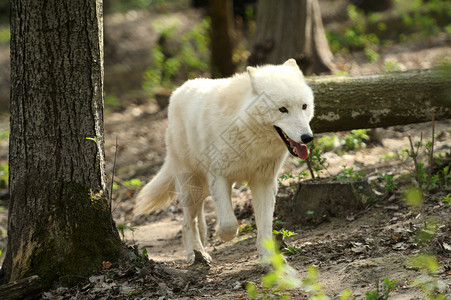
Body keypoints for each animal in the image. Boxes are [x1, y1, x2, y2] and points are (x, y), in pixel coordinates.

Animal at [136, 58, 316, 262]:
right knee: (188, 222)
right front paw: (223, 235)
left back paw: (201, 244)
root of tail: (178, 90)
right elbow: (229, 223)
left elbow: (265, 226)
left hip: (202, 188)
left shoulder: (263, 181)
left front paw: (268, 260)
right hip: (191, 185)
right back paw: (197, 254)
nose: (307, 137)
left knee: (196, 217)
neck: (249, 138)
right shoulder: (219, 177)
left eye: (304, 106)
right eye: (283, 109)